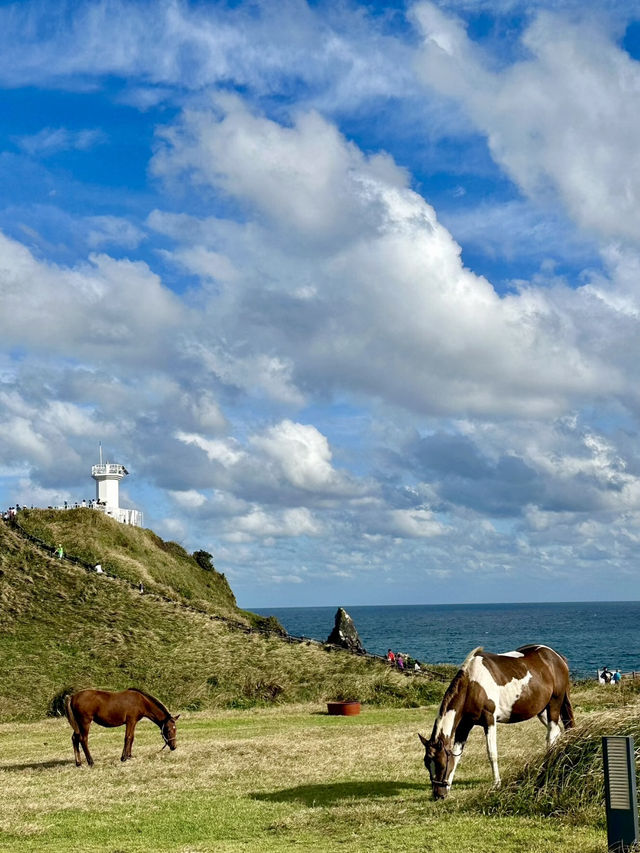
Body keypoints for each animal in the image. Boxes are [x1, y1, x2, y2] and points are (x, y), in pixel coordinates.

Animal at [420, 644, 576, 800]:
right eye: (427, 763)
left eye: (440, 764)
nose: (438, 794)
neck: (472, 684)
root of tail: (556, 656)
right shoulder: (464, 725)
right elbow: (456, 754)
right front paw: (450, 785)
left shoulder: (489, 720)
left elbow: (492, 753)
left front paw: (496, 784)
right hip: (542, 711)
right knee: (558, 732)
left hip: (554, 705)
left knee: (552, 735)